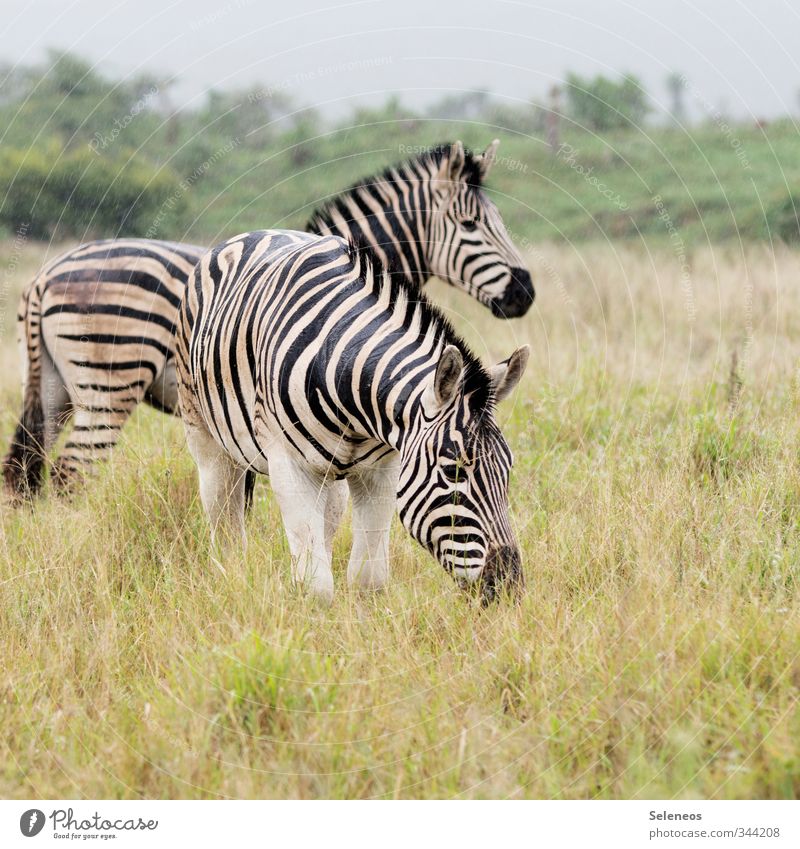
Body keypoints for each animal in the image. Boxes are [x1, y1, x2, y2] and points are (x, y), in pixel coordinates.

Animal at [6, 139, 536, 496]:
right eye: (470, 225)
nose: (525, 292)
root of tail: (44, 275)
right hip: (109, 386)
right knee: (72, 473)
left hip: (56, 386)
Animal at [180, 232, 532, 604]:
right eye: (453, 471)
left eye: (508, 470)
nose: (509, 586)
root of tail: (255, 234)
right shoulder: (289, 466)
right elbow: (316, 586)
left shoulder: (383, 471)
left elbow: (368, 578)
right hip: (207, 438)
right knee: (224, 518)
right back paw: (231, 577)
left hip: (329, 475)